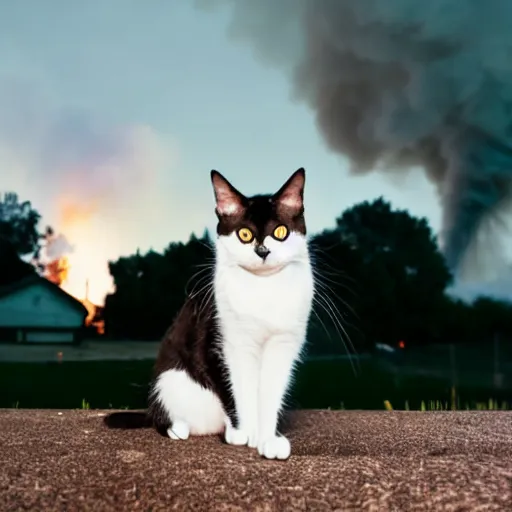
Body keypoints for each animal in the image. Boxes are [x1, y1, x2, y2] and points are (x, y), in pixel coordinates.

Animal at [148, 168, 314, 460]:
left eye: (280, 232)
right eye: (245, 234)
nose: (262, 251)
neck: (264, 288)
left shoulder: (283, 345)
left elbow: (270, 392)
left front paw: (267, 439)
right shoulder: (223, 343)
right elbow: (234, 389)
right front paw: (244, 434)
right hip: (169, 380)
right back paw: (181, 428)